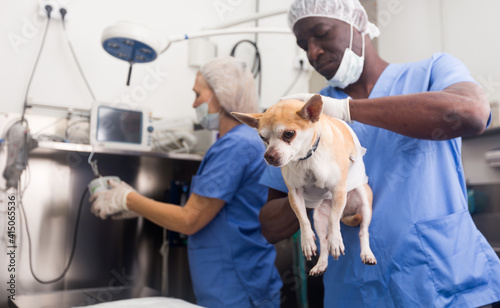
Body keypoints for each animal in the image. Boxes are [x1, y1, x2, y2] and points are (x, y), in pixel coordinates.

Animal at [232, 95, 376, 276]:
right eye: (263, 138)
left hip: (364, 203)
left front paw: (336, 239)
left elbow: (333, 220)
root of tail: (347, 212)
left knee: (362, 231)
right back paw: (321, 264)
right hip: (318, 218)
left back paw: (366, 254)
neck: (306, 158)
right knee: (323, 243)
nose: (268, 156)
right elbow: (302, 219)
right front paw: (307, 241)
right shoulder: (295, 194)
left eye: (288, 134)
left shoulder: (338, 190)